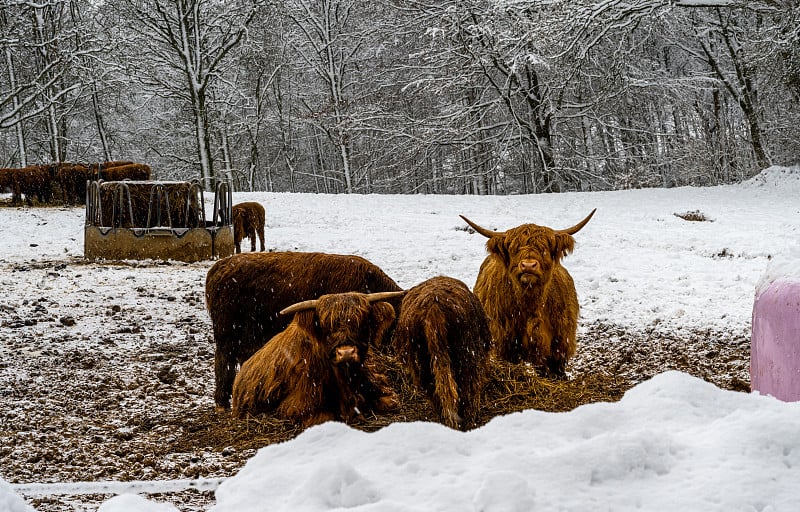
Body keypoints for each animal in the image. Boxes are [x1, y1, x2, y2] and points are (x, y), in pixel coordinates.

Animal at [390, 274, 490, 430]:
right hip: (466, 354)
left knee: (436, 391)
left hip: (422, 362)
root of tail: (433, 309)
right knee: (467, 387)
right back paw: (469, 420)